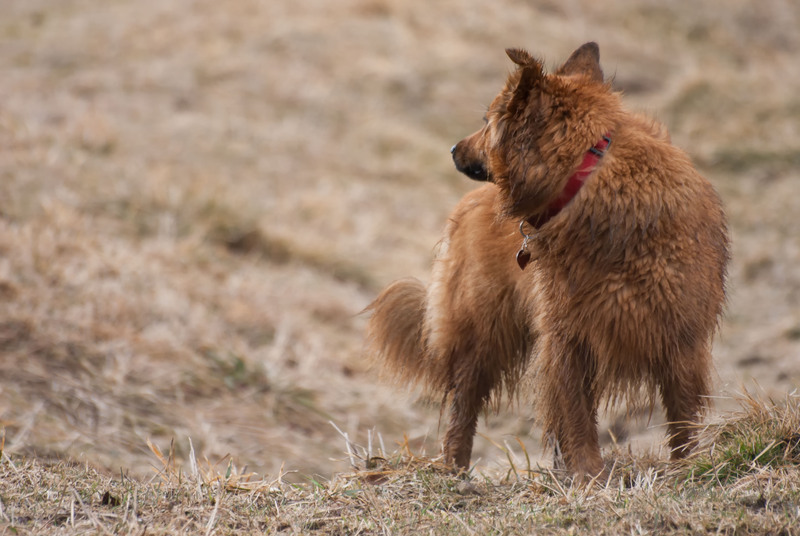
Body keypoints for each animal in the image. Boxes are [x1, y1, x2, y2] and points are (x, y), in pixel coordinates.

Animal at [366, 42, 728, 478]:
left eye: (487, 121)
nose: (452, 150)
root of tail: (471, 202)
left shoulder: (680, 337)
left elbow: (681, 420)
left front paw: (685, 470)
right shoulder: (568, 336)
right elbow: (577, 414)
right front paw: (589, 475)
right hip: (481, 334)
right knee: (463, 409)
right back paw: (456, 471)